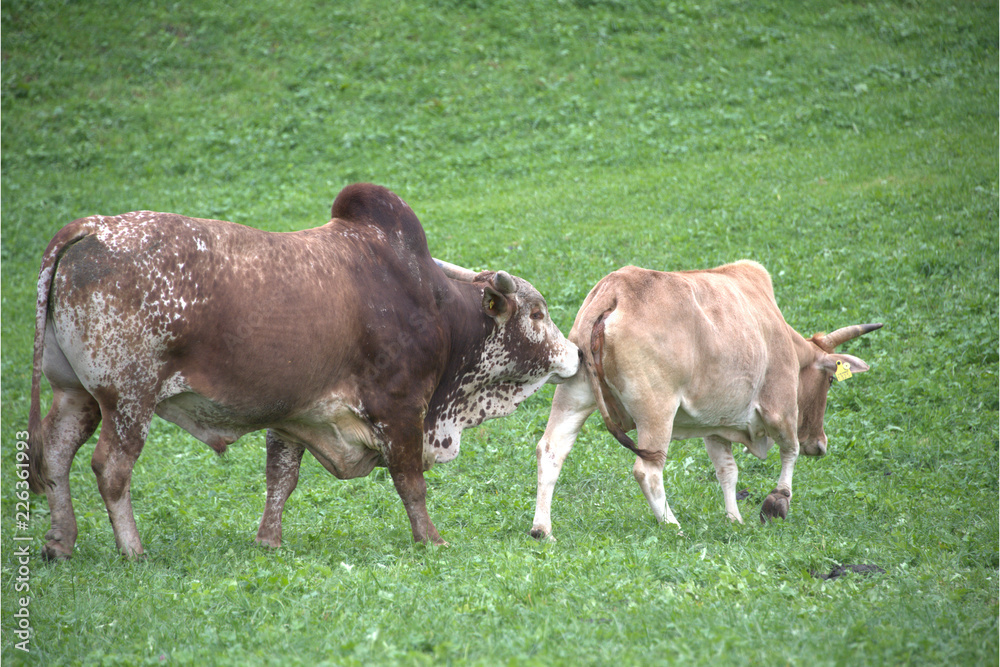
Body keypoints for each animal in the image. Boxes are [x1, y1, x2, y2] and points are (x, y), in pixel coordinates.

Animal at [26, 183, 580, 560]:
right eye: (537, 313)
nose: (574, 353)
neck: (438, 309)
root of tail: (93, 226)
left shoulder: (292, 415)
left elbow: (281, 479)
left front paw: (268, 541)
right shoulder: (402, 407)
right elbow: (410, 481)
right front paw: (431, 540)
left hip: (75, 393)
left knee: (54, 453)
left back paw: (60, 542)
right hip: (127, 400)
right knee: (110, 469)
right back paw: (133, 549)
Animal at [529, 260, 881, 539]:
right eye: (830, 380)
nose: (819, 444)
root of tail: (616, 289)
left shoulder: (715, 425)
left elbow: (727, 470)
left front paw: (734, 518)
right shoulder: (780, 407)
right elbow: (789, 450)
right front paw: (777, 501)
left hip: (574, 393)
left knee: (551, 451)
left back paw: (542, 529)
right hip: (657, 410)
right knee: (647, 470)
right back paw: (672, 525)